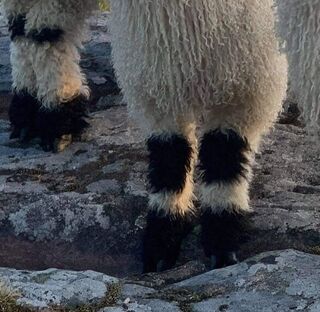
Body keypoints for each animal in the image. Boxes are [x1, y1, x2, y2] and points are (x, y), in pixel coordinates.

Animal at [109, 0, 288, 270]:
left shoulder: (244, 71)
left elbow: (225, 152)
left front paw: (222, 240)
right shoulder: (158, 69)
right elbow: (169, 154)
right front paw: (163, 239)